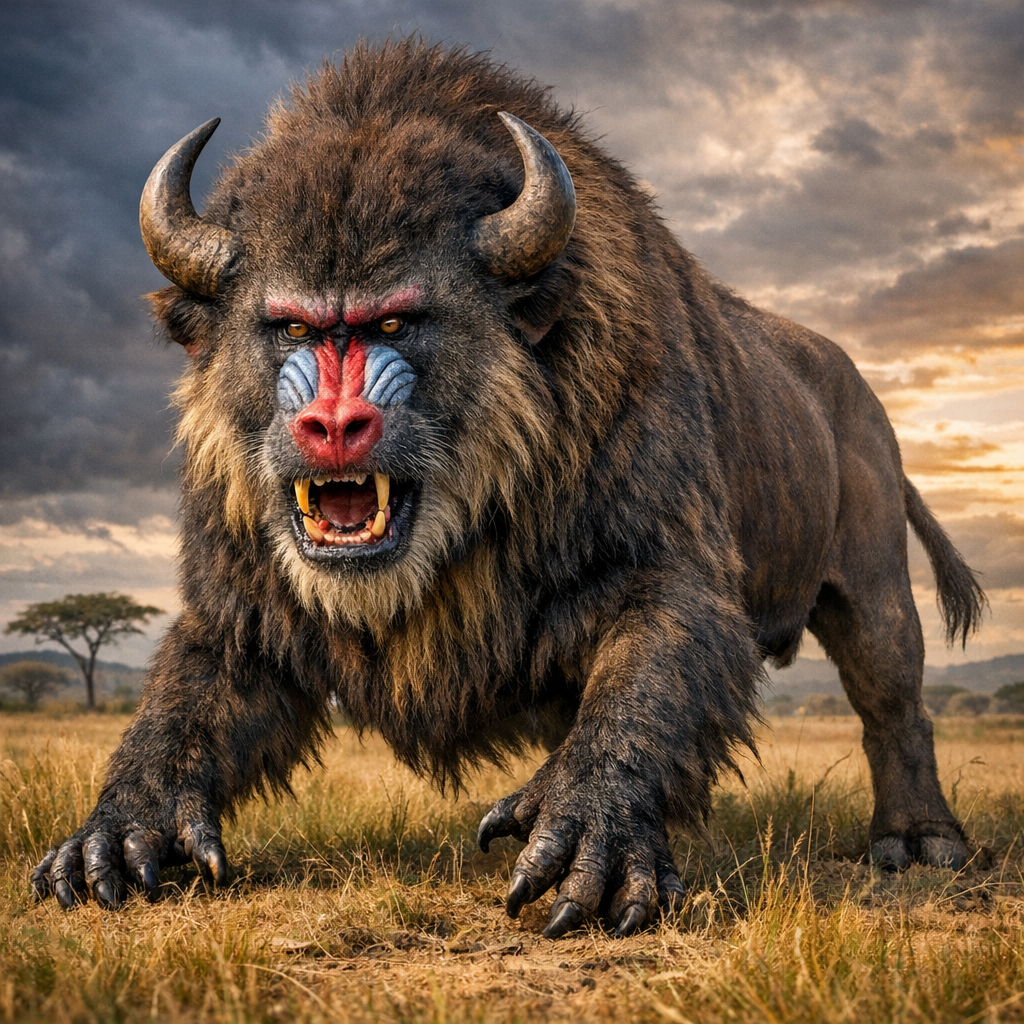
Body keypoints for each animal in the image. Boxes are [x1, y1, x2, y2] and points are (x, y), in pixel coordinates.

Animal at [32, 40, 984, 938]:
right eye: (294, 328)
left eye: (392, 320)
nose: (333, 427)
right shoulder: (243, 605)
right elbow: (181, 711)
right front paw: (112, 838)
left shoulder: (665, 569)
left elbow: (642, 697)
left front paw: (590, 848)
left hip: (872, 591)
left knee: (894, 703)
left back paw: (920, 841)